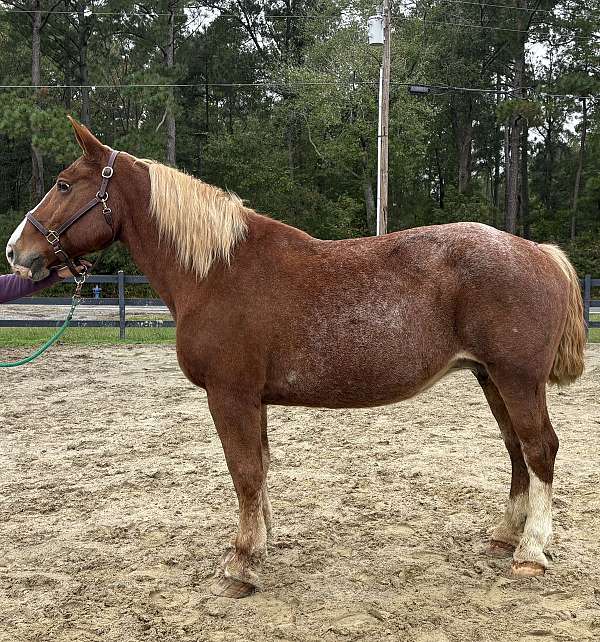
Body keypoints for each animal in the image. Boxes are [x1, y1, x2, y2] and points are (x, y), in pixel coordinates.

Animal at [6, 117, 586, 598]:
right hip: (492, 379)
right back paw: (505, 536)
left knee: (540, 451)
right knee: (517, 453)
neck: (217, 270)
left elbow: (243, 471)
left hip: (516, 380)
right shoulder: (253, 399)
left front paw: (240, 565)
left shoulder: (230, 396)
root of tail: (539, 252)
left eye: (64, 183)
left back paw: (531, 552)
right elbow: (260, 468)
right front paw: (261, 542)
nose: (16, 251)